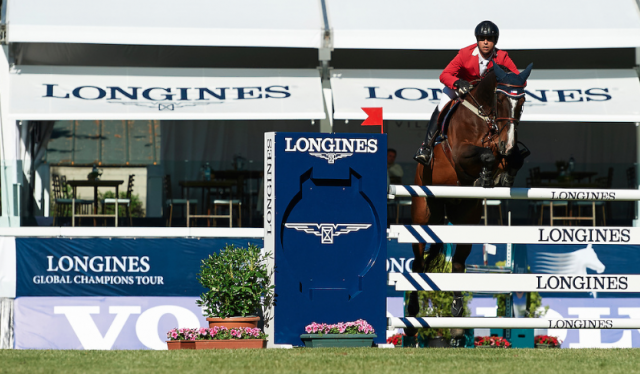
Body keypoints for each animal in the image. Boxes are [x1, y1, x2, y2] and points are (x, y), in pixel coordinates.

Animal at [410, 62, 536, 318]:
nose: (508, 143)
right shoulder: (461, 153)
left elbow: (511, 157)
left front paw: (501, 176)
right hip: (422, 214)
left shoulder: (502, 146)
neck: (486, 116)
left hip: (465, 217)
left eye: (522, 101)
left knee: (458, 263)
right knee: (417, 263)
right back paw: (413, 308)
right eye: (501, 98)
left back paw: (457, 305)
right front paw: (487, 175)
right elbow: (486, 155)